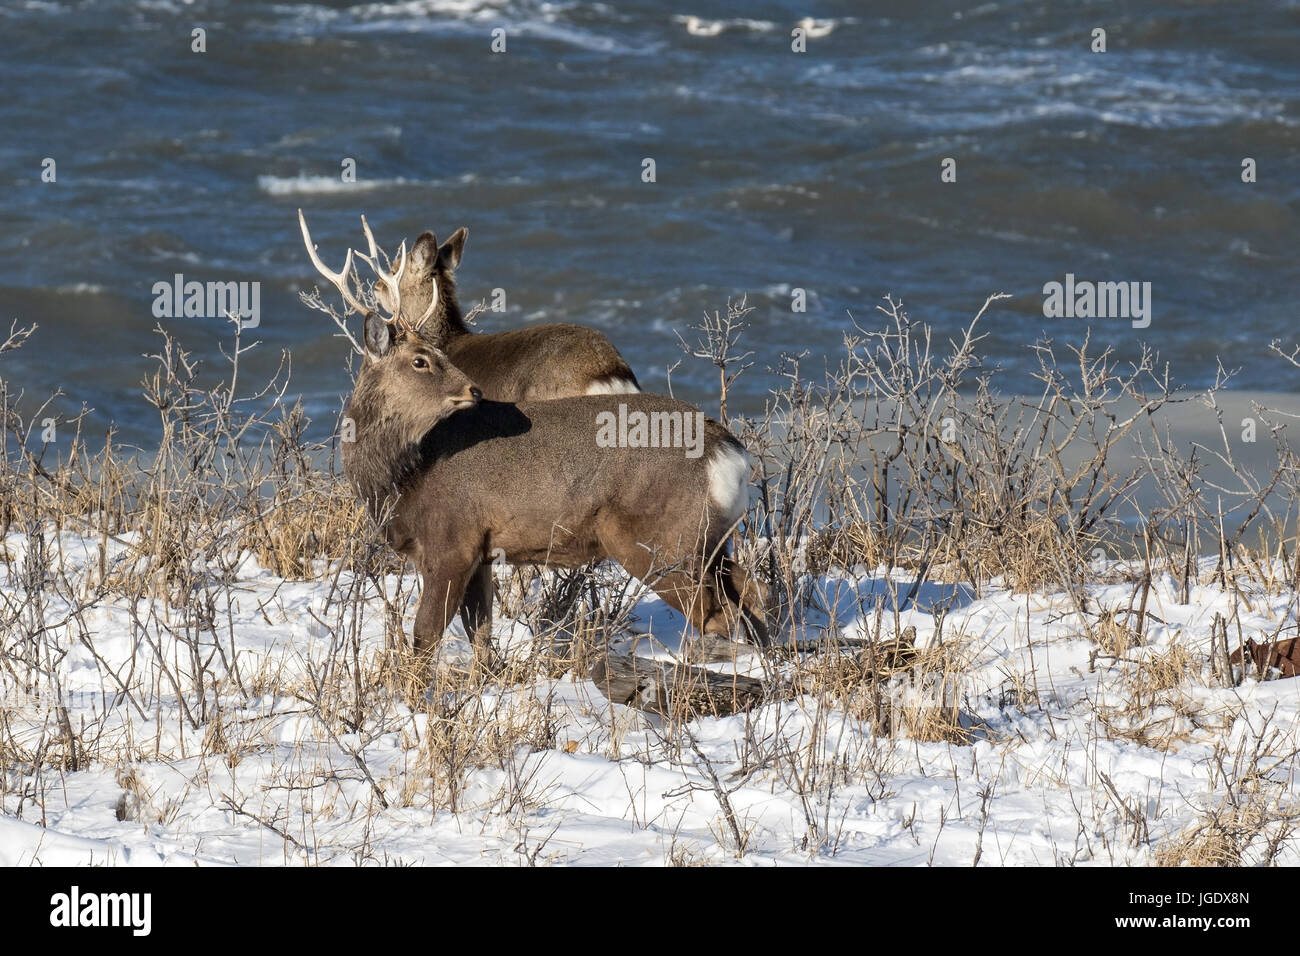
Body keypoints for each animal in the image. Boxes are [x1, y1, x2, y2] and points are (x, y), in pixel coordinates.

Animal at [299, 213, 764, 671]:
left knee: (719, 615)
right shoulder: (483, 552)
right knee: (753, 591)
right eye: (420, 360)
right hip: (711, 541)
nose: (474, 390)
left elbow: (425, 637)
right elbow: (481, 635)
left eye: (431, 355)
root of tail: (732, 454)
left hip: (662, 541)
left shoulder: (451, 541)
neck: (404, 476)